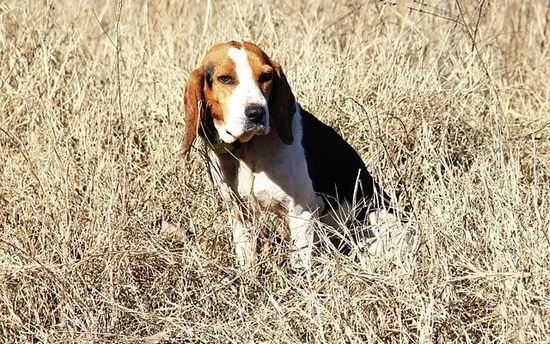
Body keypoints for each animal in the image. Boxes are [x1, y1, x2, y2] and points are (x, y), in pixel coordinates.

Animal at [183, 40, 398, 270]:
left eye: (266, 76)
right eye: (225, 78)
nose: (256, 113)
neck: (248, 150)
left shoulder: (301, 213)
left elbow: (300, 265)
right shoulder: (239, 213)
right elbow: (246, 257)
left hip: (375, 217)